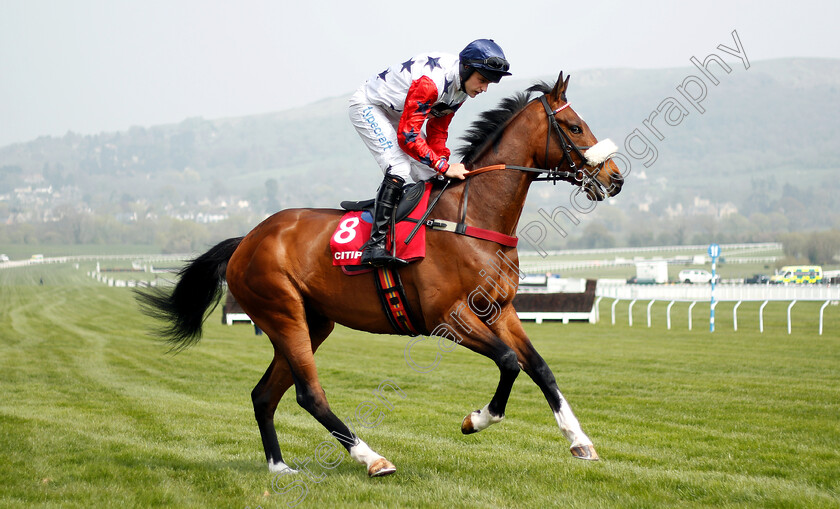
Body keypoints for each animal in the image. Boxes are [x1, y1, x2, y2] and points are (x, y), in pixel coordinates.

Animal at [138, 71, 624, 476]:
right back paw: (372, 459)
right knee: (308, 394)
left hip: (311, 321)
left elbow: (539, 367)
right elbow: (508, 362)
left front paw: (580, 441)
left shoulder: (499, 310)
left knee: (264, 395)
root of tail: (246, 240)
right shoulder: (447, 318)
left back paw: (279, 467)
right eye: (575, 127)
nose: (616, 178)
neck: (469, 218)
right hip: (283, 313)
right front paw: (475, 420)